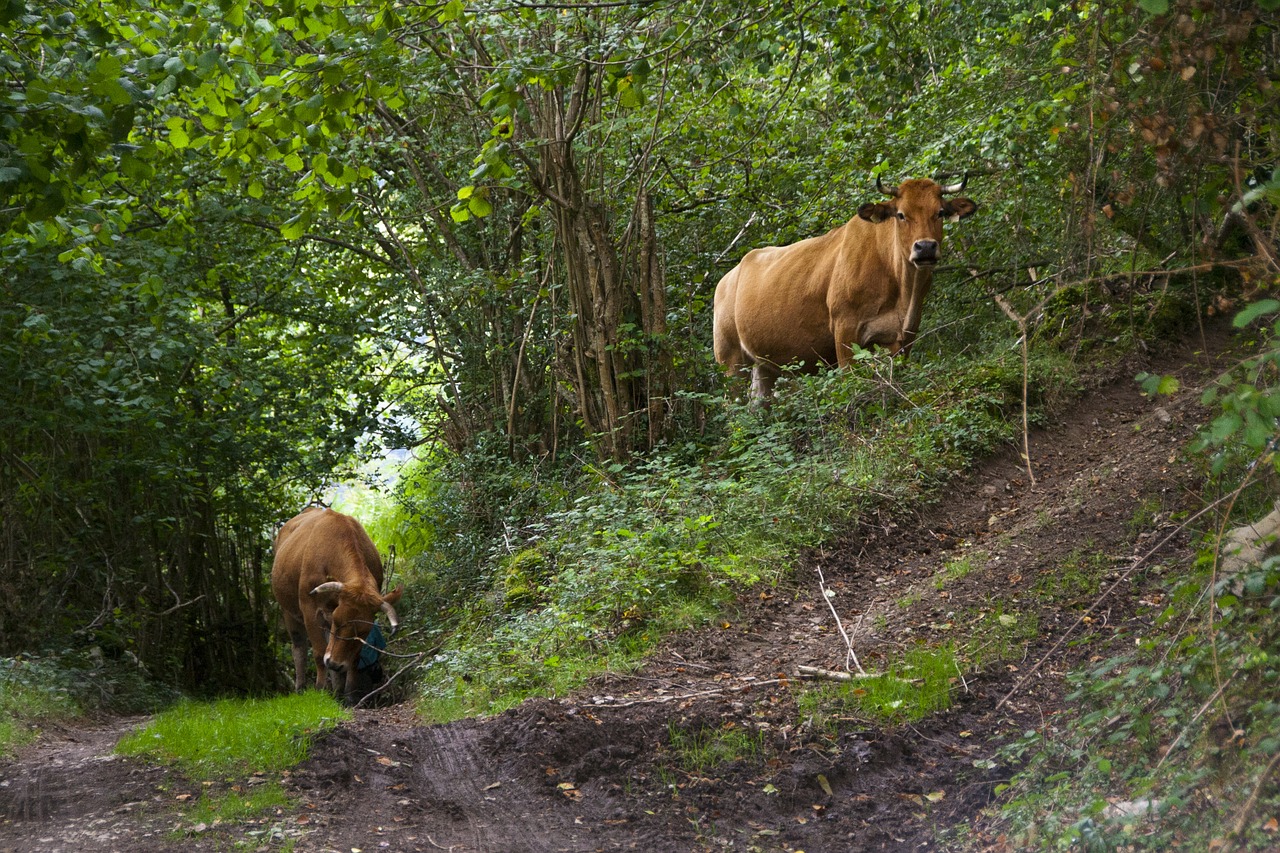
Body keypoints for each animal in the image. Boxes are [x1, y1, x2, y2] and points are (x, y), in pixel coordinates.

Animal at [271, 507, 404, 701]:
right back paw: (301, 687)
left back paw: (336, 690)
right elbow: (319, 653)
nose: (335, 663)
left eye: (363, 631)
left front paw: (349, 696)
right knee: (299, 648)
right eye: (337, 621)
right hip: (288, 611)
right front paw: (320, 689)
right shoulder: (310, 609)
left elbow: (354, 658)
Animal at [716, 175, 972, 399]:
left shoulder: (905, 336)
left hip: (764, 366)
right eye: (901, 214)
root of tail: (728, 277)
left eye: (940, 212)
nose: (925, 247)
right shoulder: (845, 329)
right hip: (730, 361)